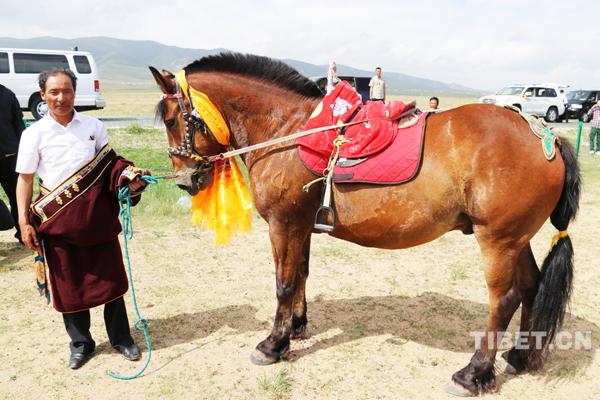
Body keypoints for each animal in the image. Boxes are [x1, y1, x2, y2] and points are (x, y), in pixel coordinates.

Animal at [149, 53, 580, 396]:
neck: (288, 131)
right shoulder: (301, 226)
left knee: (504, 299)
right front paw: (296, 326)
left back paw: (474, 373)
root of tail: (546, 136)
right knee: (531, 286)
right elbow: (301, 274)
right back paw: (520, 356)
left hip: (497, 240)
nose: (186, 180)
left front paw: (273, 343)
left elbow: (284, 283)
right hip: (517, 238)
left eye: (171, 120)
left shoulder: (283, 224)